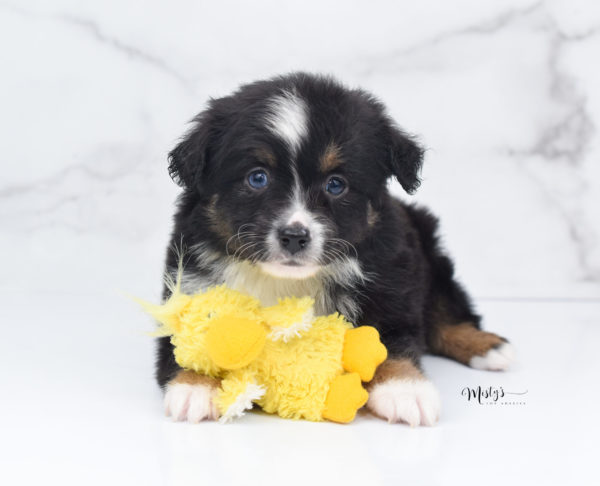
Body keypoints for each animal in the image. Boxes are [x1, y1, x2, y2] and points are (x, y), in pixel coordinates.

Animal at [156, 72, 516, 426]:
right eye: (257, 178)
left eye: (336, 184)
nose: (294, 237)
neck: (286, 283)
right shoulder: (189, 282)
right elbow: (186, 341)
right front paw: (194, 386)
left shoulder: (390, 282)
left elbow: (389, 337)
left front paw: (404, 389)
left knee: (446, 311)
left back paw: (488, 347)